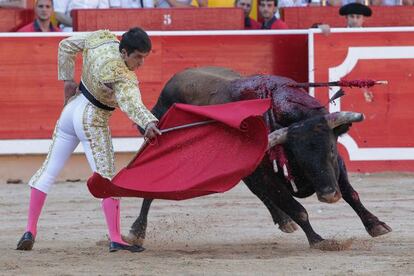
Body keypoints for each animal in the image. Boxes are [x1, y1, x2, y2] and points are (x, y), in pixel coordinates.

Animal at [126, 67, 392, 250]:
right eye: (299, 156)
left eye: (331, 150)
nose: (328, 195)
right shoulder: (266, 175)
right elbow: (299, 210)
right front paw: (319, 240)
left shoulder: (337, 167)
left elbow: (351, 194)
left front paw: (376, 225)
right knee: (151, 189)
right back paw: (137, 231)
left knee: (259, 194)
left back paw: (283, 221)